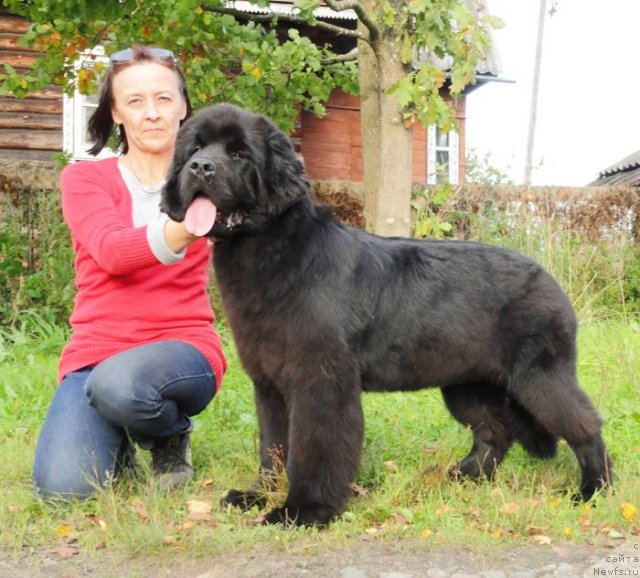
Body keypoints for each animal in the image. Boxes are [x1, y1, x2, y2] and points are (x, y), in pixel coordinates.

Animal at [160, 101, 608, 524]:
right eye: (195, 148)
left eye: (239, 153)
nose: (200, 167)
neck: (274, 249)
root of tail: (548, 278)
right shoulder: (270, 384)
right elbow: (273, 446)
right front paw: (257, 496)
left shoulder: (320, 381)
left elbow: (312, 448)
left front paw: (304, 511)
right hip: (467, 383)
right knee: (494, 430)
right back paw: (461, 476)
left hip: (540, 377)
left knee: (585, 424)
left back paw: (593, 491)